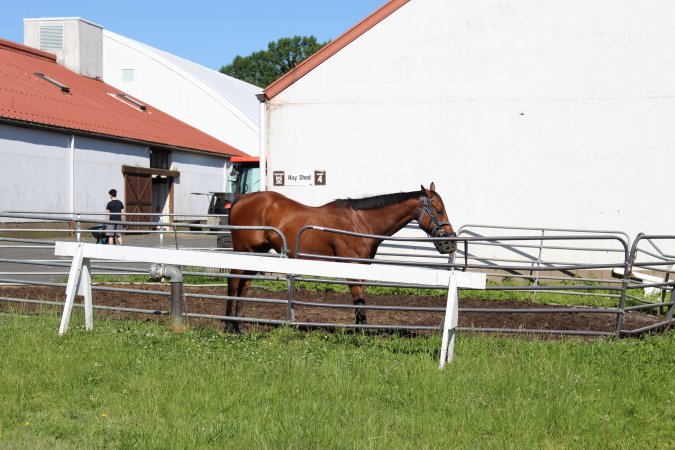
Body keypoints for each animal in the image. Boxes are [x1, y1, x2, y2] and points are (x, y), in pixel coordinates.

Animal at [224, 182, 456, 330]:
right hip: (244, 251)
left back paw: (239, 324)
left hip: (256, 254)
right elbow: (359, 301)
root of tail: (240, 200)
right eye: (438, 210)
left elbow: (360, 301)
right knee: (234, 283)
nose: (451, 241)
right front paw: (361, 333)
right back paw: (229, 326)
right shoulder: (352, 267)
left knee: (244, 285)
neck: (360, 223)